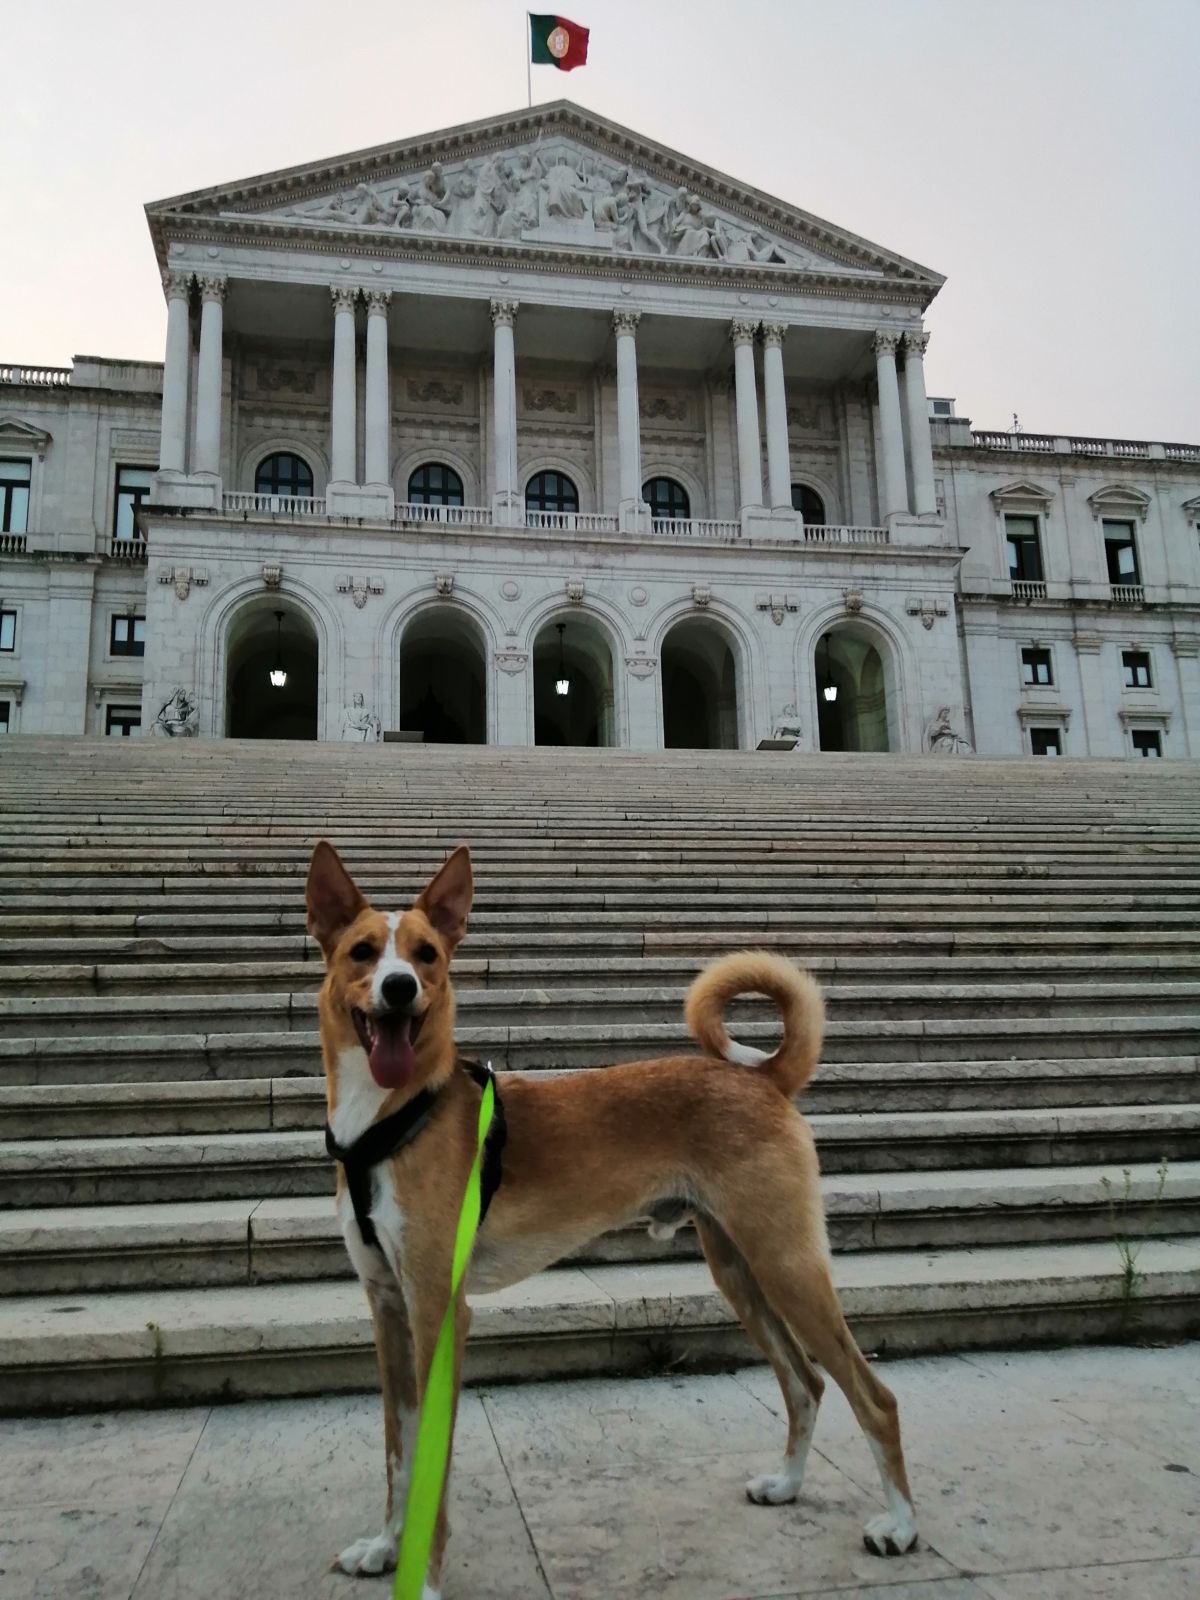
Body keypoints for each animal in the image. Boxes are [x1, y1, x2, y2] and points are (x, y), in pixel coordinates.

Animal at [307, 844, 921, 1593]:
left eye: (426, 954)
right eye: (363, 952)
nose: (398, 988)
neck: (392, 1122)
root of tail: (761, 1077)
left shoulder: (438, 1313)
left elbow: (432, 1464)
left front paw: (422, 1580)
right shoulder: (388, 1309)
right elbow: (400, 1452)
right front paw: (386, 1548)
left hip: (787, 1264)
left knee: (875, 1398)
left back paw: (901, 1526)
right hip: (740, 1269)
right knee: (806, 1383)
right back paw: (787, 1484)